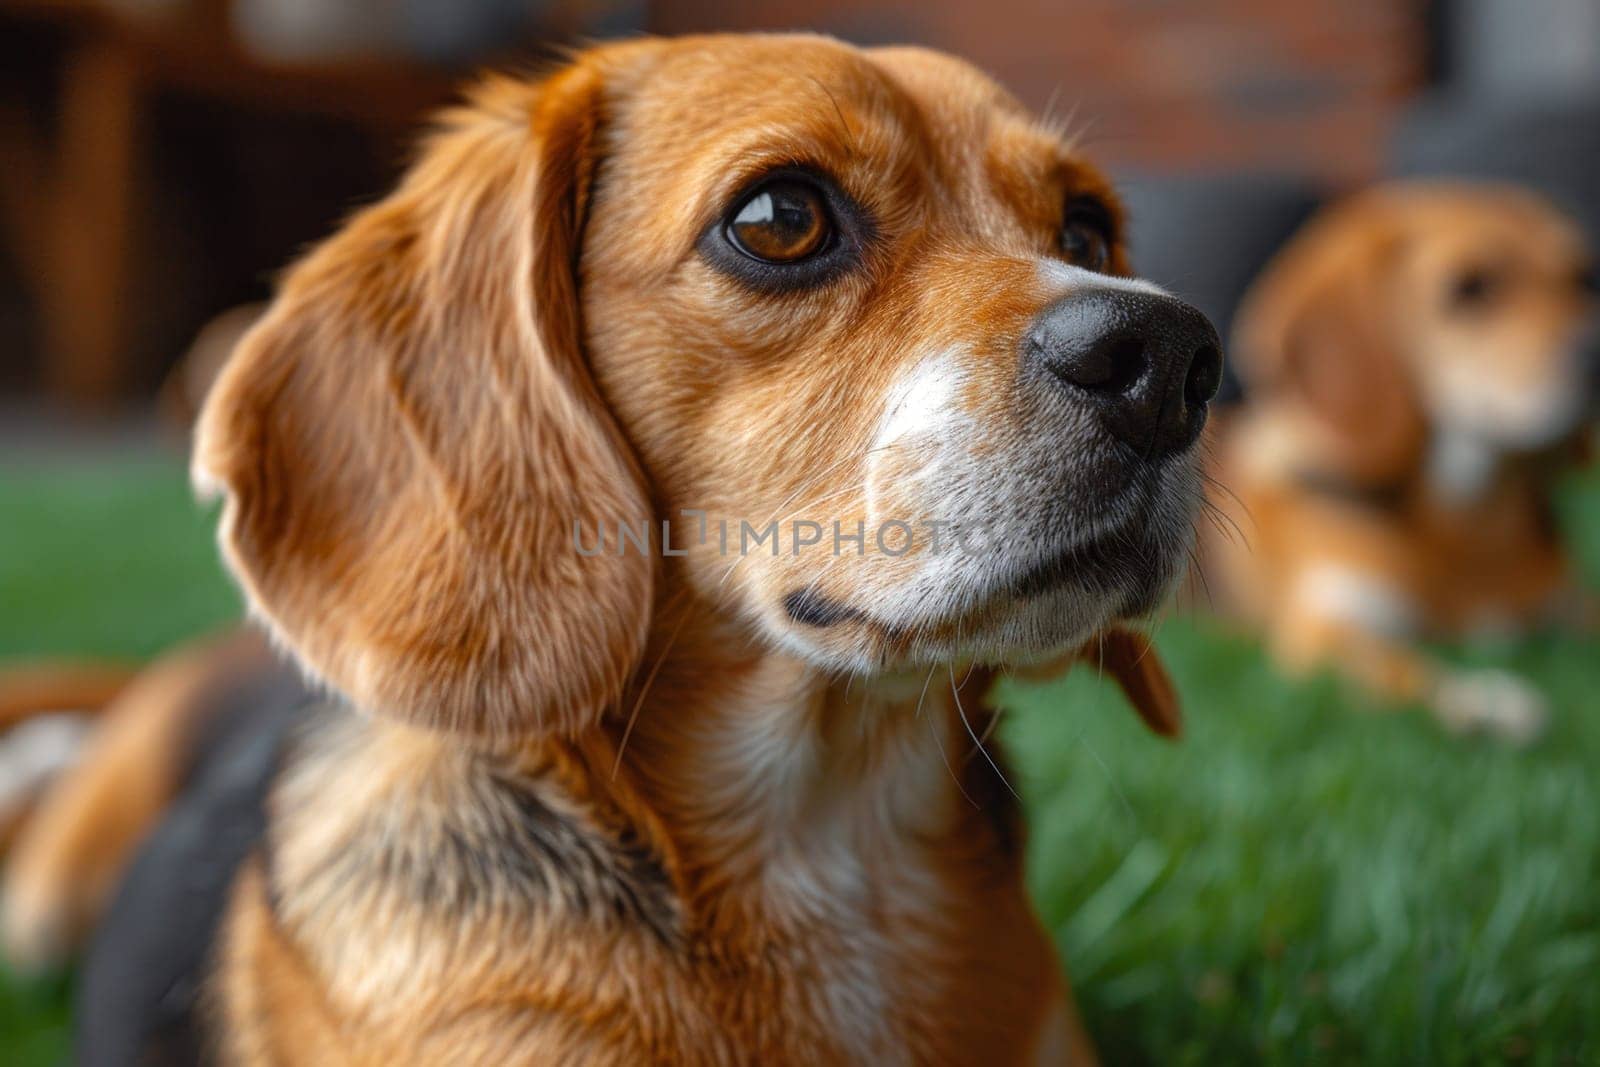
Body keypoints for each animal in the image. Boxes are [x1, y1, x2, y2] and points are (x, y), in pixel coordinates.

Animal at [1209, 181, 1600, 742]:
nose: (1597, 353)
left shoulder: (1572, 604)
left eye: (1582, 280)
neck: (1468, 526)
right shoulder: (1328, 627)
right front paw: (1481, 699)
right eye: (1471, 289)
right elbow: (1404, 665)